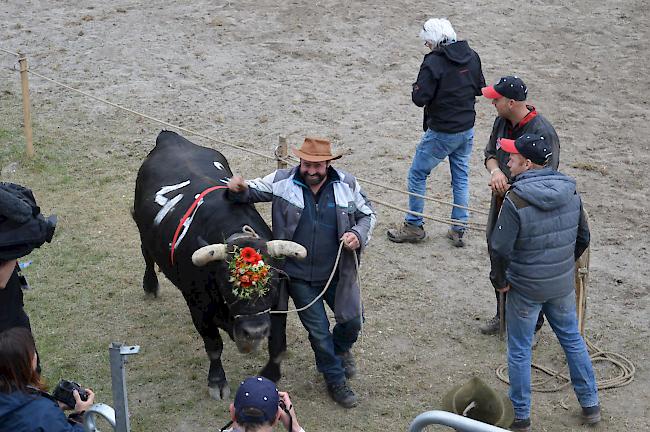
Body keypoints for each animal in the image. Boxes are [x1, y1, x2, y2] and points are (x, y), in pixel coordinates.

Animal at [132, 130, 306, 400]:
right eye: (227, 283)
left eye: (271, 282)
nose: (255, 332)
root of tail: (170, 137)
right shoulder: (198, 305)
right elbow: (213, 345)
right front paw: (217, 381)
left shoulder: (279, 302)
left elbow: (278, 343)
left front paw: (270, 374)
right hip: (142, 230)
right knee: (147, 255)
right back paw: (150, 286)